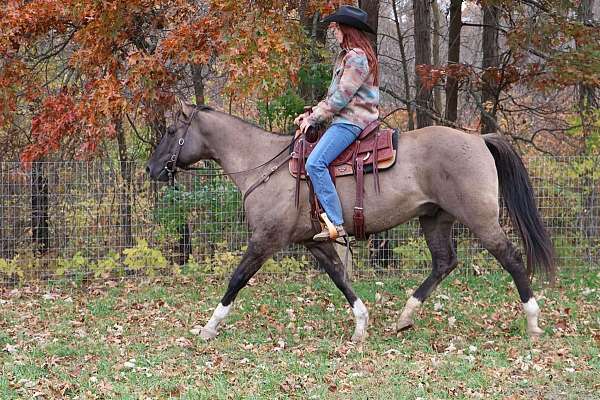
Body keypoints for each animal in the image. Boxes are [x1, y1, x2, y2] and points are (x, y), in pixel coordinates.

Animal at [144, 101, 552, 342]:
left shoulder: (265, 240)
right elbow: (340, 278)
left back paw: (532, 322)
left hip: (480, 219)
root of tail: (479, 139)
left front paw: (209, 327)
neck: (263, 165)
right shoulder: (314, 242)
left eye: (170, 131)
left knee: (511, 258)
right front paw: (361, 324)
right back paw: (405, 316)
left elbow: (237, 278)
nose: (150, 169)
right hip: (434, 219)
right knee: (444, 263)